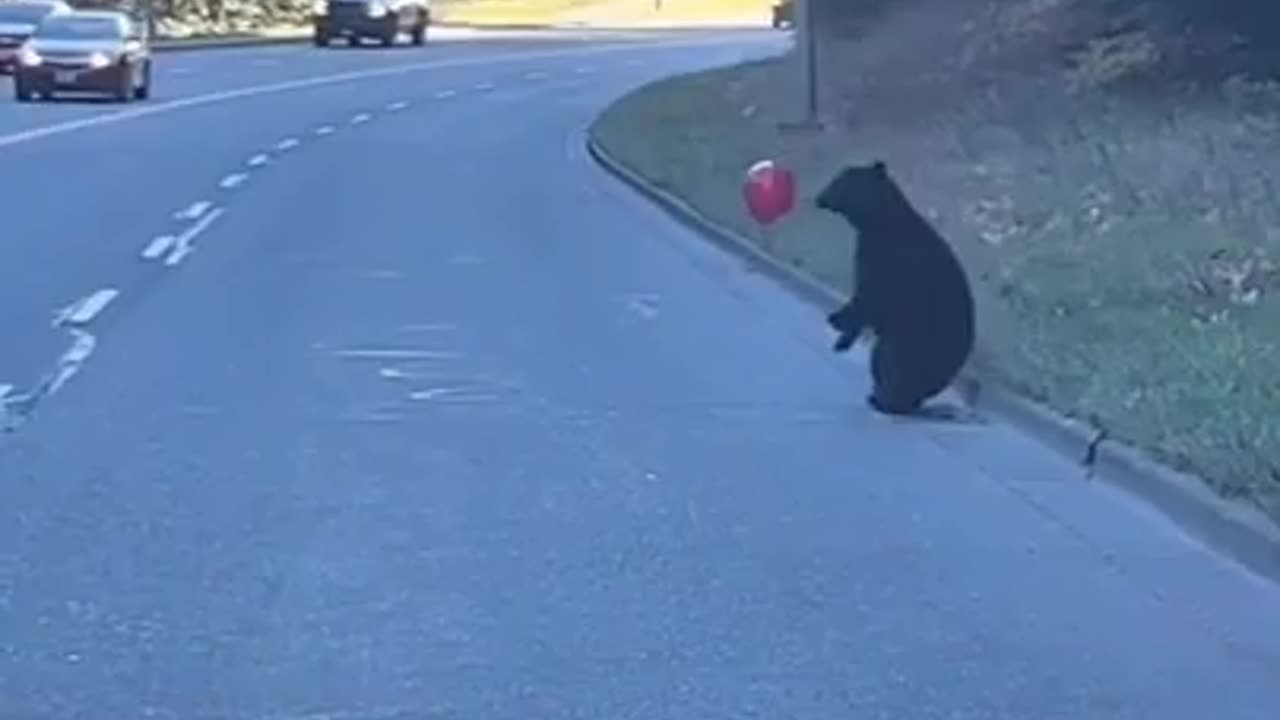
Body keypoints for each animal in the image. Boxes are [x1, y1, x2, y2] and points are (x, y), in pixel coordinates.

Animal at [814, 156, 972, 415]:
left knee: (891, 363)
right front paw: (842, 335)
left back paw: (885, 400)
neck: (880, 221)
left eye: (840, 182)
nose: (820, 197)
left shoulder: (888, 262)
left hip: (916, 342)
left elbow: (869, 296)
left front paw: (837, 320)